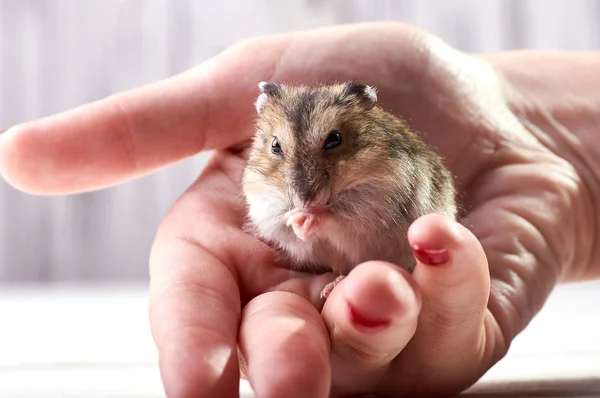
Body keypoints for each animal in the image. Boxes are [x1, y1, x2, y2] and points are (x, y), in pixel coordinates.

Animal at [239, 81, 454, 298]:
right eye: (275, 145)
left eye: (334, 139)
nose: (305, 201)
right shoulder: (266, 206)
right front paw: (295, 218)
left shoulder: (371, 207)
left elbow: (336, 217)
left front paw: (305, 217)